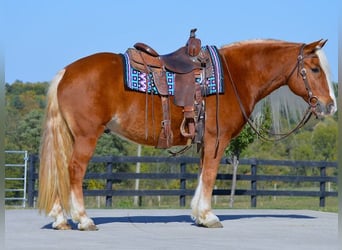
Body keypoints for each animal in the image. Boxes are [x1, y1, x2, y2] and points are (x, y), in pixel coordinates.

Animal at [36, 37, 336, 230]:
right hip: (86, 136)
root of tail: (66, 72)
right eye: (314, 69)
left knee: (61, 169)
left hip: (70, 136)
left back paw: (60, 220)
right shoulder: (217, 140)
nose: (330, 105)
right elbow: (210, 175)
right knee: (74, 170)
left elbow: (202, 174)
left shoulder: (205, 142)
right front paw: (208, 216)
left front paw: (198, 216)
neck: (235, 76)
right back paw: (83, 219)